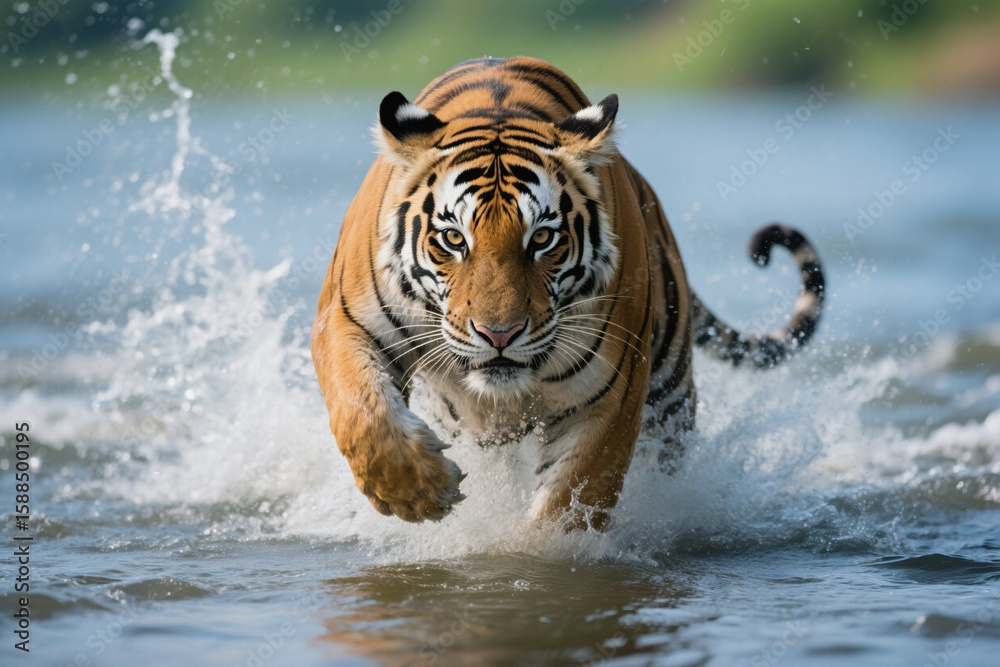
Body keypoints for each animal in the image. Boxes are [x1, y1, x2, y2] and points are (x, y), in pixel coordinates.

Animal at [311, 56, 825, 531]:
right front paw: (419, 493)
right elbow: (363, 413)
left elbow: (571, 499)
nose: (499, 335)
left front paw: (538, 555)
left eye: (541, 238)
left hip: (670, 391)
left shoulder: (610, 388)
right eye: (454, 239)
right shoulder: (346, 321)